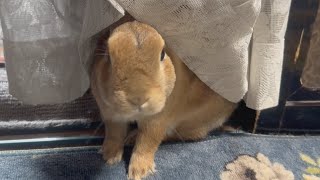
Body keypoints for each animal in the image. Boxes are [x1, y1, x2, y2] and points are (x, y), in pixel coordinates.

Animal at [90, 20, 238, 180]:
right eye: (108, 56)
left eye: (162, 54)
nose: (138, 98)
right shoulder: (111, 116)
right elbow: (114, 134)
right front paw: (109, 157)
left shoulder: (157, 121)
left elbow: (147, 143)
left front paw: (139, 172)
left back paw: (132, 138)